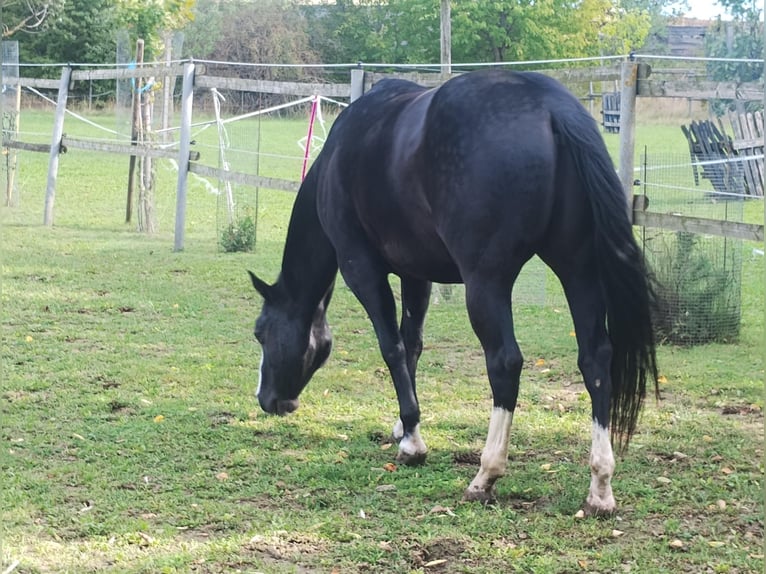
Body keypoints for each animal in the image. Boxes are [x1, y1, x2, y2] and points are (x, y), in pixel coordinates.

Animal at [248, 69, 658, 515]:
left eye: (260, 333)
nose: (266, 399)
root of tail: (552, 107)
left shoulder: (361, 268)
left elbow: (391, 347)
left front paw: (412, 443)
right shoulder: (416, 275)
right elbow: (412, 345)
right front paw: (403, 424)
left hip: (487, 283)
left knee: (505, 362)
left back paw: (485, 475)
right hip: (578, 271)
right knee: (595, 359)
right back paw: (600, 486)